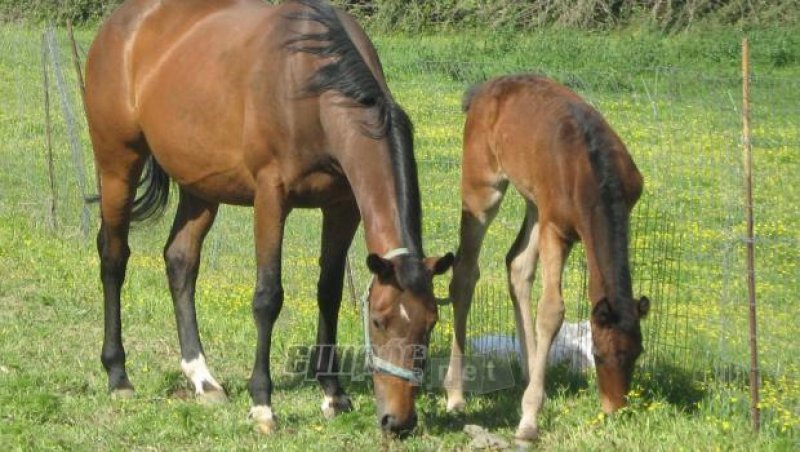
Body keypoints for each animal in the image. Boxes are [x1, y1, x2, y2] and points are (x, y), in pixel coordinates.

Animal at [86, 0, 456, 438]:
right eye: (379, 322)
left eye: (430, 324)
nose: (397, 421)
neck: (310, 85)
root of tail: (119, 24)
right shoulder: (270, 197)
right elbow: (267, 297)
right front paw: (262, 403)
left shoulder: (342, 207)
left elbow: (329, 293)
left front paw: (333, 394)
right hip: (118, 164)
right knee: (113, 257)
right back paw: (118, 375)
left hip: (200, 186)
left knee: (180, 261)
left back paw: (203, 379)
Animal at [444, 75, 648, 442]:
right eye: (598, 355)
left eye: (637, 353)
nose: (615, 409)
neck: (593, 172)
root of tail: (481, 91)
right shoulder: (557, 229)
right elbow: (552, 309)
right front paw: (528, 422)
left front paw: (532, 400)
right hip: (483, 188)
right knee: (465, 274)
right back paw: (455, 395)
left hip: (534, 202)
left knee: (517, 265)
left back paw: (529, 376)